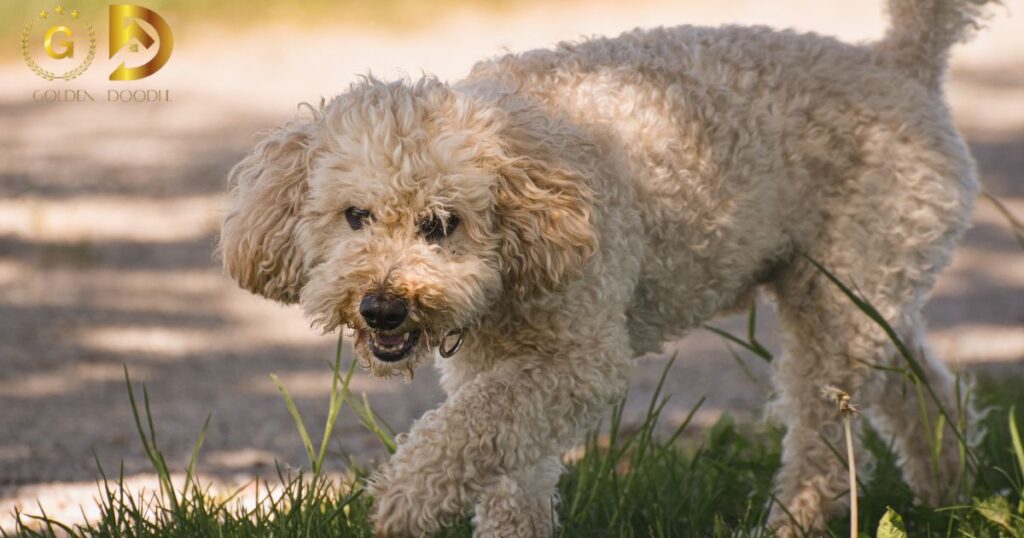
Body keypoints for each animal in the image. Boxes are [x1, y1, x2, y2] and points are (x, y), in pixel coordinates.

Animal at [220, 1, 995, 532]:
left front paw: (406, 499)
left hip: (841, 298)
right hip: (854, 289)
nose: (381, 306)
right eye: (354, 216)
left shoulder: (577, 359)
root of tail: (899, 60)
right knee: (923, 388)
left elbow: (462, 434)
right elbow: (505, 465)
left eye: (441, 224)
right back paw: (950, 487)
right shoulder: (497, 369)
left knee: (824, 443)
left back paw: (795, 519)